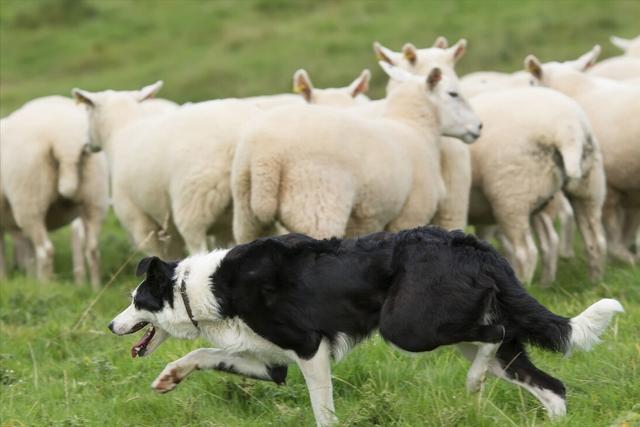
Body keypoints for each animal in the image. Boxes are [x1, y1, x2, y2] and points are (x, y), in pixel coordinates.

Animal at [0, 96, 109, 288]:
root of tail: (65, 140)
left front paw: (5, 280)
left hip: (29, 198)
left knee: (45, 250)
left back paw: (44, 287)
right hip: (94, 197)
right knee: (93, 249)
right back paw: (96, 289)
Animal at [109, 229, 620, 426]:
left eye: (135, 301)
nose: (112, 325)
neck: (202, 287)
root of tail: (472, 244)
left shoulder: (309, 348)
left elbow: (323, 409)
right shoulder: (272, 362)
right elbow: (201, 355)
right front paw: (169, 378)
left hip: (408, 328)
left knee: (490, 340)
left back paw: (473, 381)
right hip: (469, 335)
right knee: (551, 386)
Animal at [231, 63, 480, 244]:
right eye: (453, 94)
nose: (479, 126)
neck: (414, 129)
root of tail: (265, 155)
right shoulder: (410, 214)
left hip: (247, 215)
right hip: (316, 207)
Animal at [524, 46, 640, 264]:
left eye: (532, 83)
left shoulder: (609, 185)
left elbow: (613, 230)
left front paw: (622, 256)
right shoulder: (628, 186)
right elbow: (628, 226)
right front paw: (629, 257)